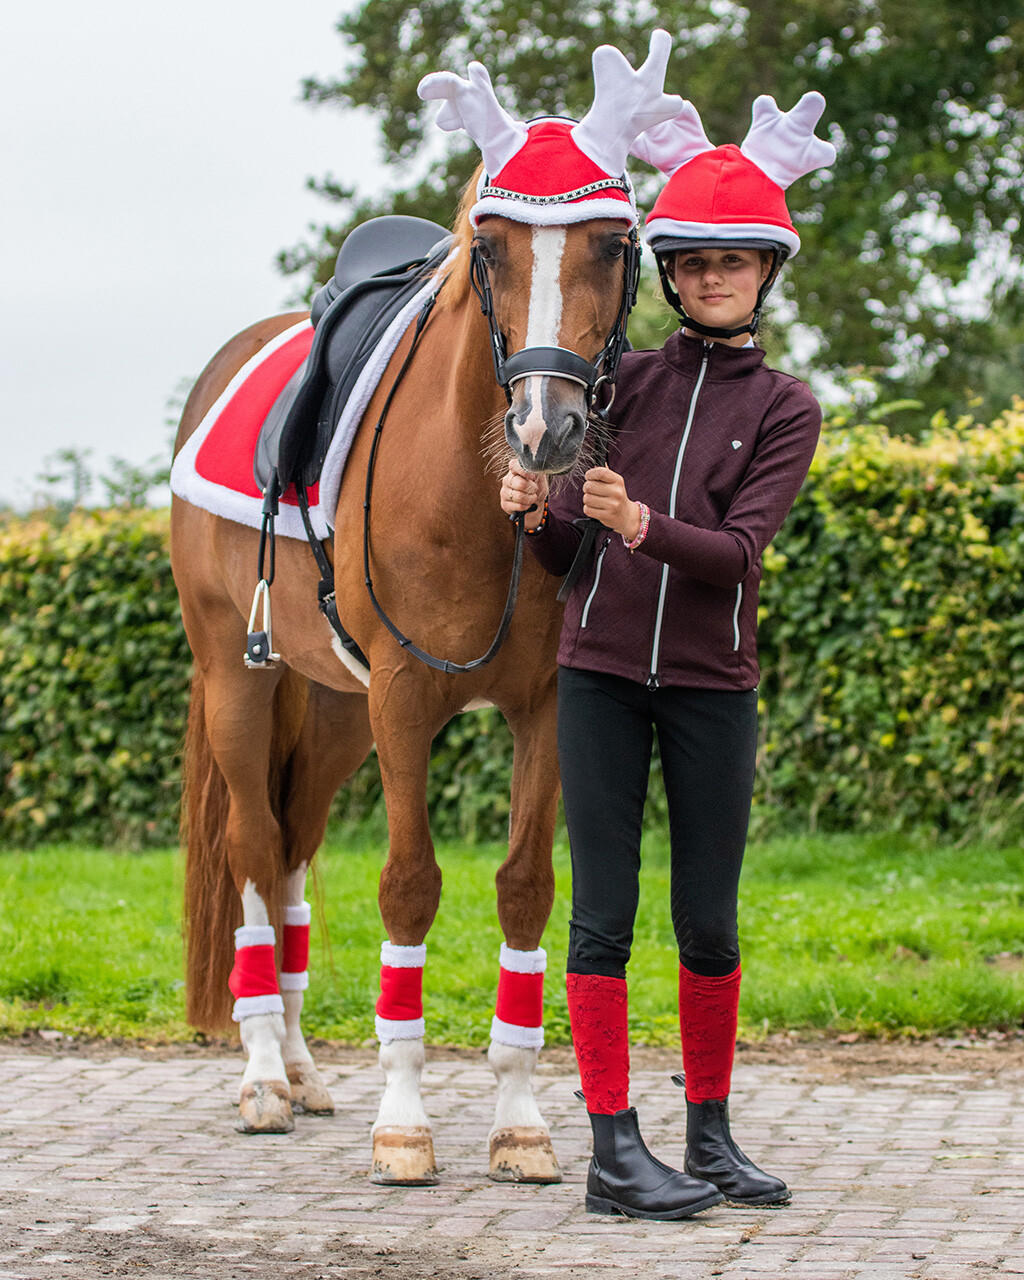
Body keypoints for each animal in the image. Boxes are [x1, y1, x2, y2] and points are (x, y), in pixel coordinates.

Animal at [171, 175, 634, 1182]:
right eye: (490, 250)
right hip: (238, 679)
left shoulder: (543, 708)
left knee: (293, 849)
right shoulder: (405, 701)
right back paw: (263, 1076)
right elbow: (410, 886)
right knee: (255, 849)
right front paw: (405, 1124)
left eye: (616, 247)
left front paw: (520, 1122)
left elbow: (525, 887)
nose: (544, 430)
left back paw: (302, 1068)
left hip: (337, 714)